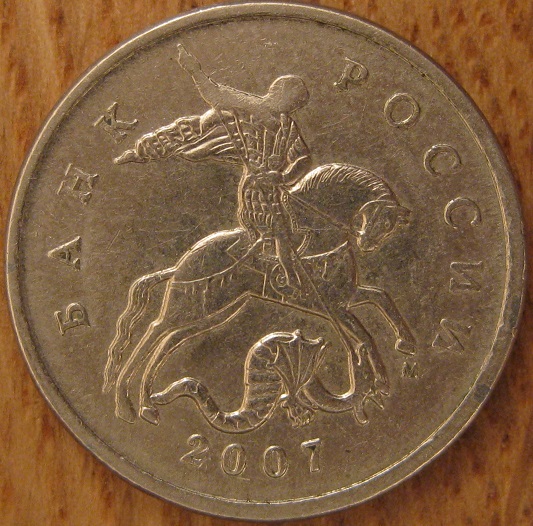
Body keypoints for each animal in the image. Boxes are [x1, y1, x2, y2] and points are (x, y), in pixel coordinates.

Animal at [102, 163, 415, 426]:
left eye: (389, 225)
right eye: (381, 220)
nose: (368, 244)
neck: (322, 237)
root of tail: (180, 265)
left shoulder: (344, 298)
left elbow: (381, 298)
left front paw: (405, 345)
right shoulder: (333, 306)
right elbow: (365, 335)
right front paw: (381, 380)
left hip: (215, 311)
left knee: (169, 341)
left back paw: (146, 403)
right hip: (186, 307)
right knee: (153, 333)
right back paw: (127, 404)